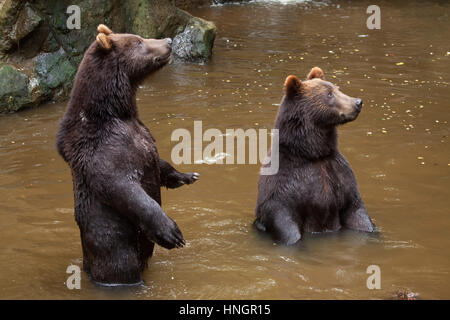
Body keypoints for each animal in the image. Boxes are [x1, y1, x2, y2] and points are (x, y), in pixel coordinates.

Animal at [55, 25, 199, 284]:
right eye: (139, 41)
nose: (169, 40)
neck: (115, 111)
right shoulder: (103, 148)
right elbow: (122, 186)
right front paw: (173, 233)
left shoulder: (141, 134)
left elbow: (157, 160)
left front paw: (186, 175)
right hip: (114, 244)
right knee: (122, 266)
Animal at [253, 66, 376, 244]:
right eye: (329, 94)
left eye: (338, 88)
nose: (358, 102)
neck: (313, 154)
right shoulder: (284, 183)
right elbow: (283, 218)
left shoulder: (339, 173)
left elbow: (356, 210)